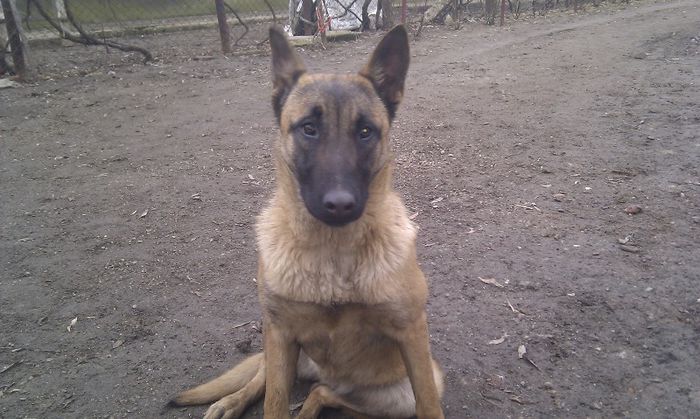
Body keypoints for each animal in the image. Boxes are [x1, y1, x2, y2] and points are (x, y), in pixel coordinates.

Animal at [170, 26, 442, 419]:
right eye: (309, 129)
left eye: (365, 131)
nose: (340, 205)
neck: (332, 253)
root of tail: (329, 375)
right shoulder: (280, 333)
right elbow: (274, 402)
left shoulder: (411, 334)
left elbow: (429, 404)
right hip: (279, 350)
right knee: (265, 379)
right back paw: (230, 402)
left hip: (397, 393)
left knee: (322, 392)